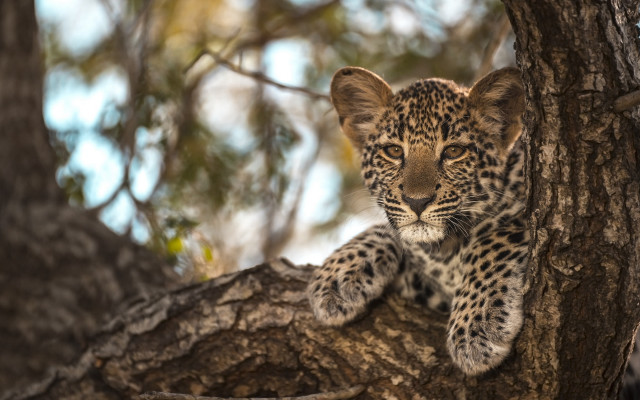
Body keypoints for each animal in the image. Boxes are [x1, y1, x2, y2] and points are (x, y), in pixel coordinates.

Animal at [307, 66, 528, 376]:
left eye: (454, 152)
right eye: (394, 151)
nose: (417, 201)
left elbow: (493, 240)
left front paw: (475, 327)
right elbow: (389, 231)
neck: (446, 250)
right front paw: (335, 277)